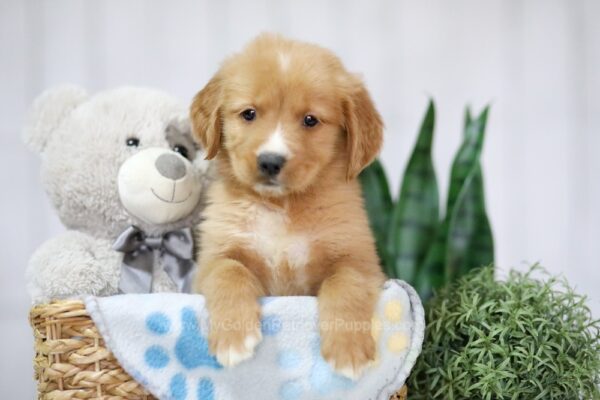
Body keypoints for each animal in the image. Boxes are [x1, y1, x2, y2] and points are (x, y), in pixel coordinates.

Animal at [191, 33, 384, 378]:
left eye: (310, 120)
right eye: (249, 114)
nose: (270, 161)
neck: (280, 207)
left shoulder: (361, 261)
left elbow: (345, 282)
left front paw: (347, 350)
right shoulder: (210, 260)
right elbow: (229, 271)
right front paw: (234, 338)